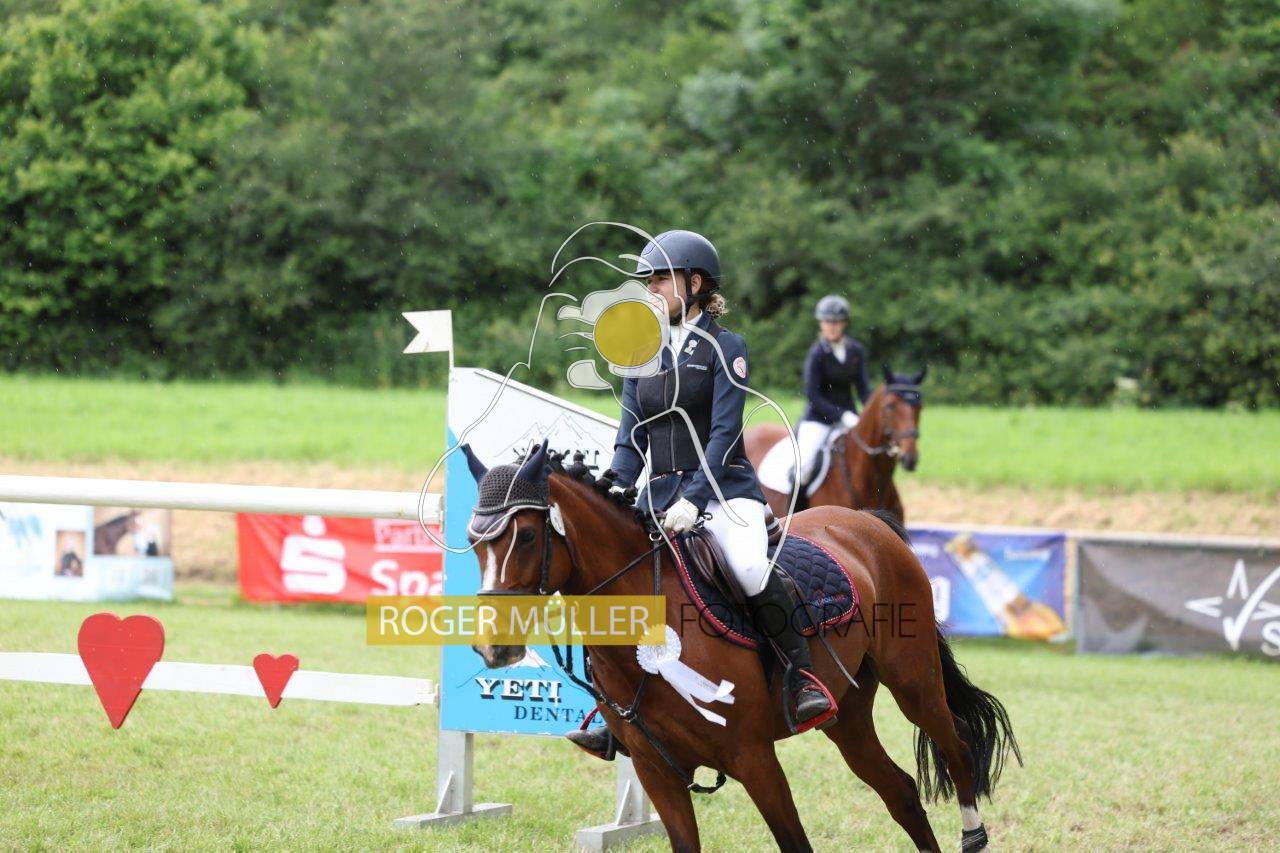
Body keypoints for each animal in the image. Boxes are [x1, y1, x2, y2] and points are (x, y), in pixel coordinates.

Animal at [462, 441, 1018, 853]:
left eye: (527, 537)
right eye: (473, 542)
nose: (494, 649)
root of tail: (868, 522)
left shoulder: (754, 759)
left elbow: (796, 844)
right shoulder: (655, 771)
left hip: (913, 680)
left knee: (957, 745)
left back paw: (973, 834)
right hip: (848, 715)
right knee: (900, 791)